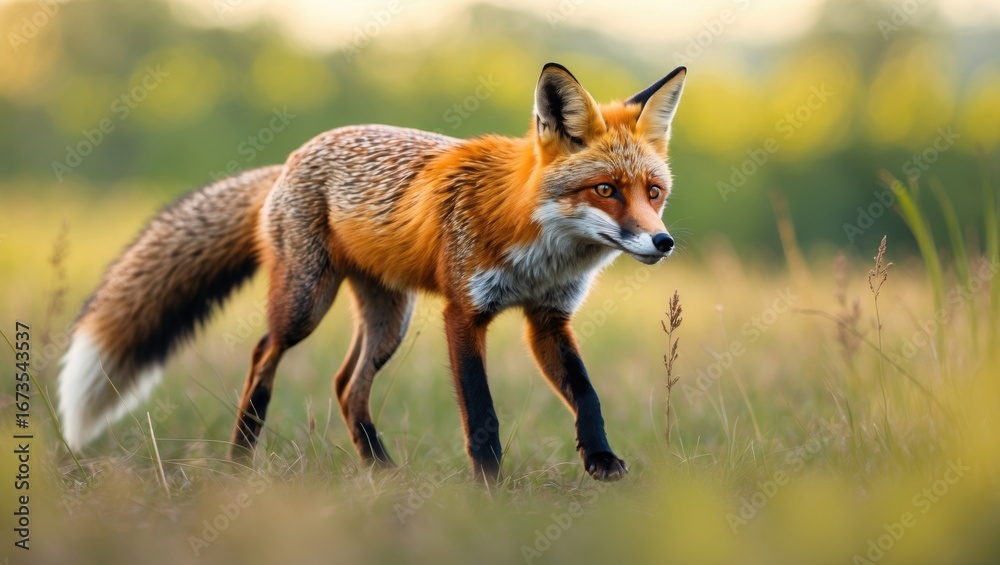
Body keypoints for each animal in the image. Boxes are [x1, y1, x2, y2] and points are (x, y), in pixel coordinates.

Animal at [58, 62, 686, 482]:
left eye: (653, 192)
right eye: (605, 190)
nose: (663, 241)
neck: (538, 248)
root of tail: (289, 160)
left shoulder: (548, 319)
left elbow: (587, 393)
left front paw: (600, 458)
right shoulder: (464, 313)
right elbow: (482, 413)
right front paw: (489, 488)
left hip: (390, 319)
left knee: (345, 385)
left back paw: (379, 468)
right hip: (305, 305)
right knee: (263, 355)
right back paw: (240, 457)